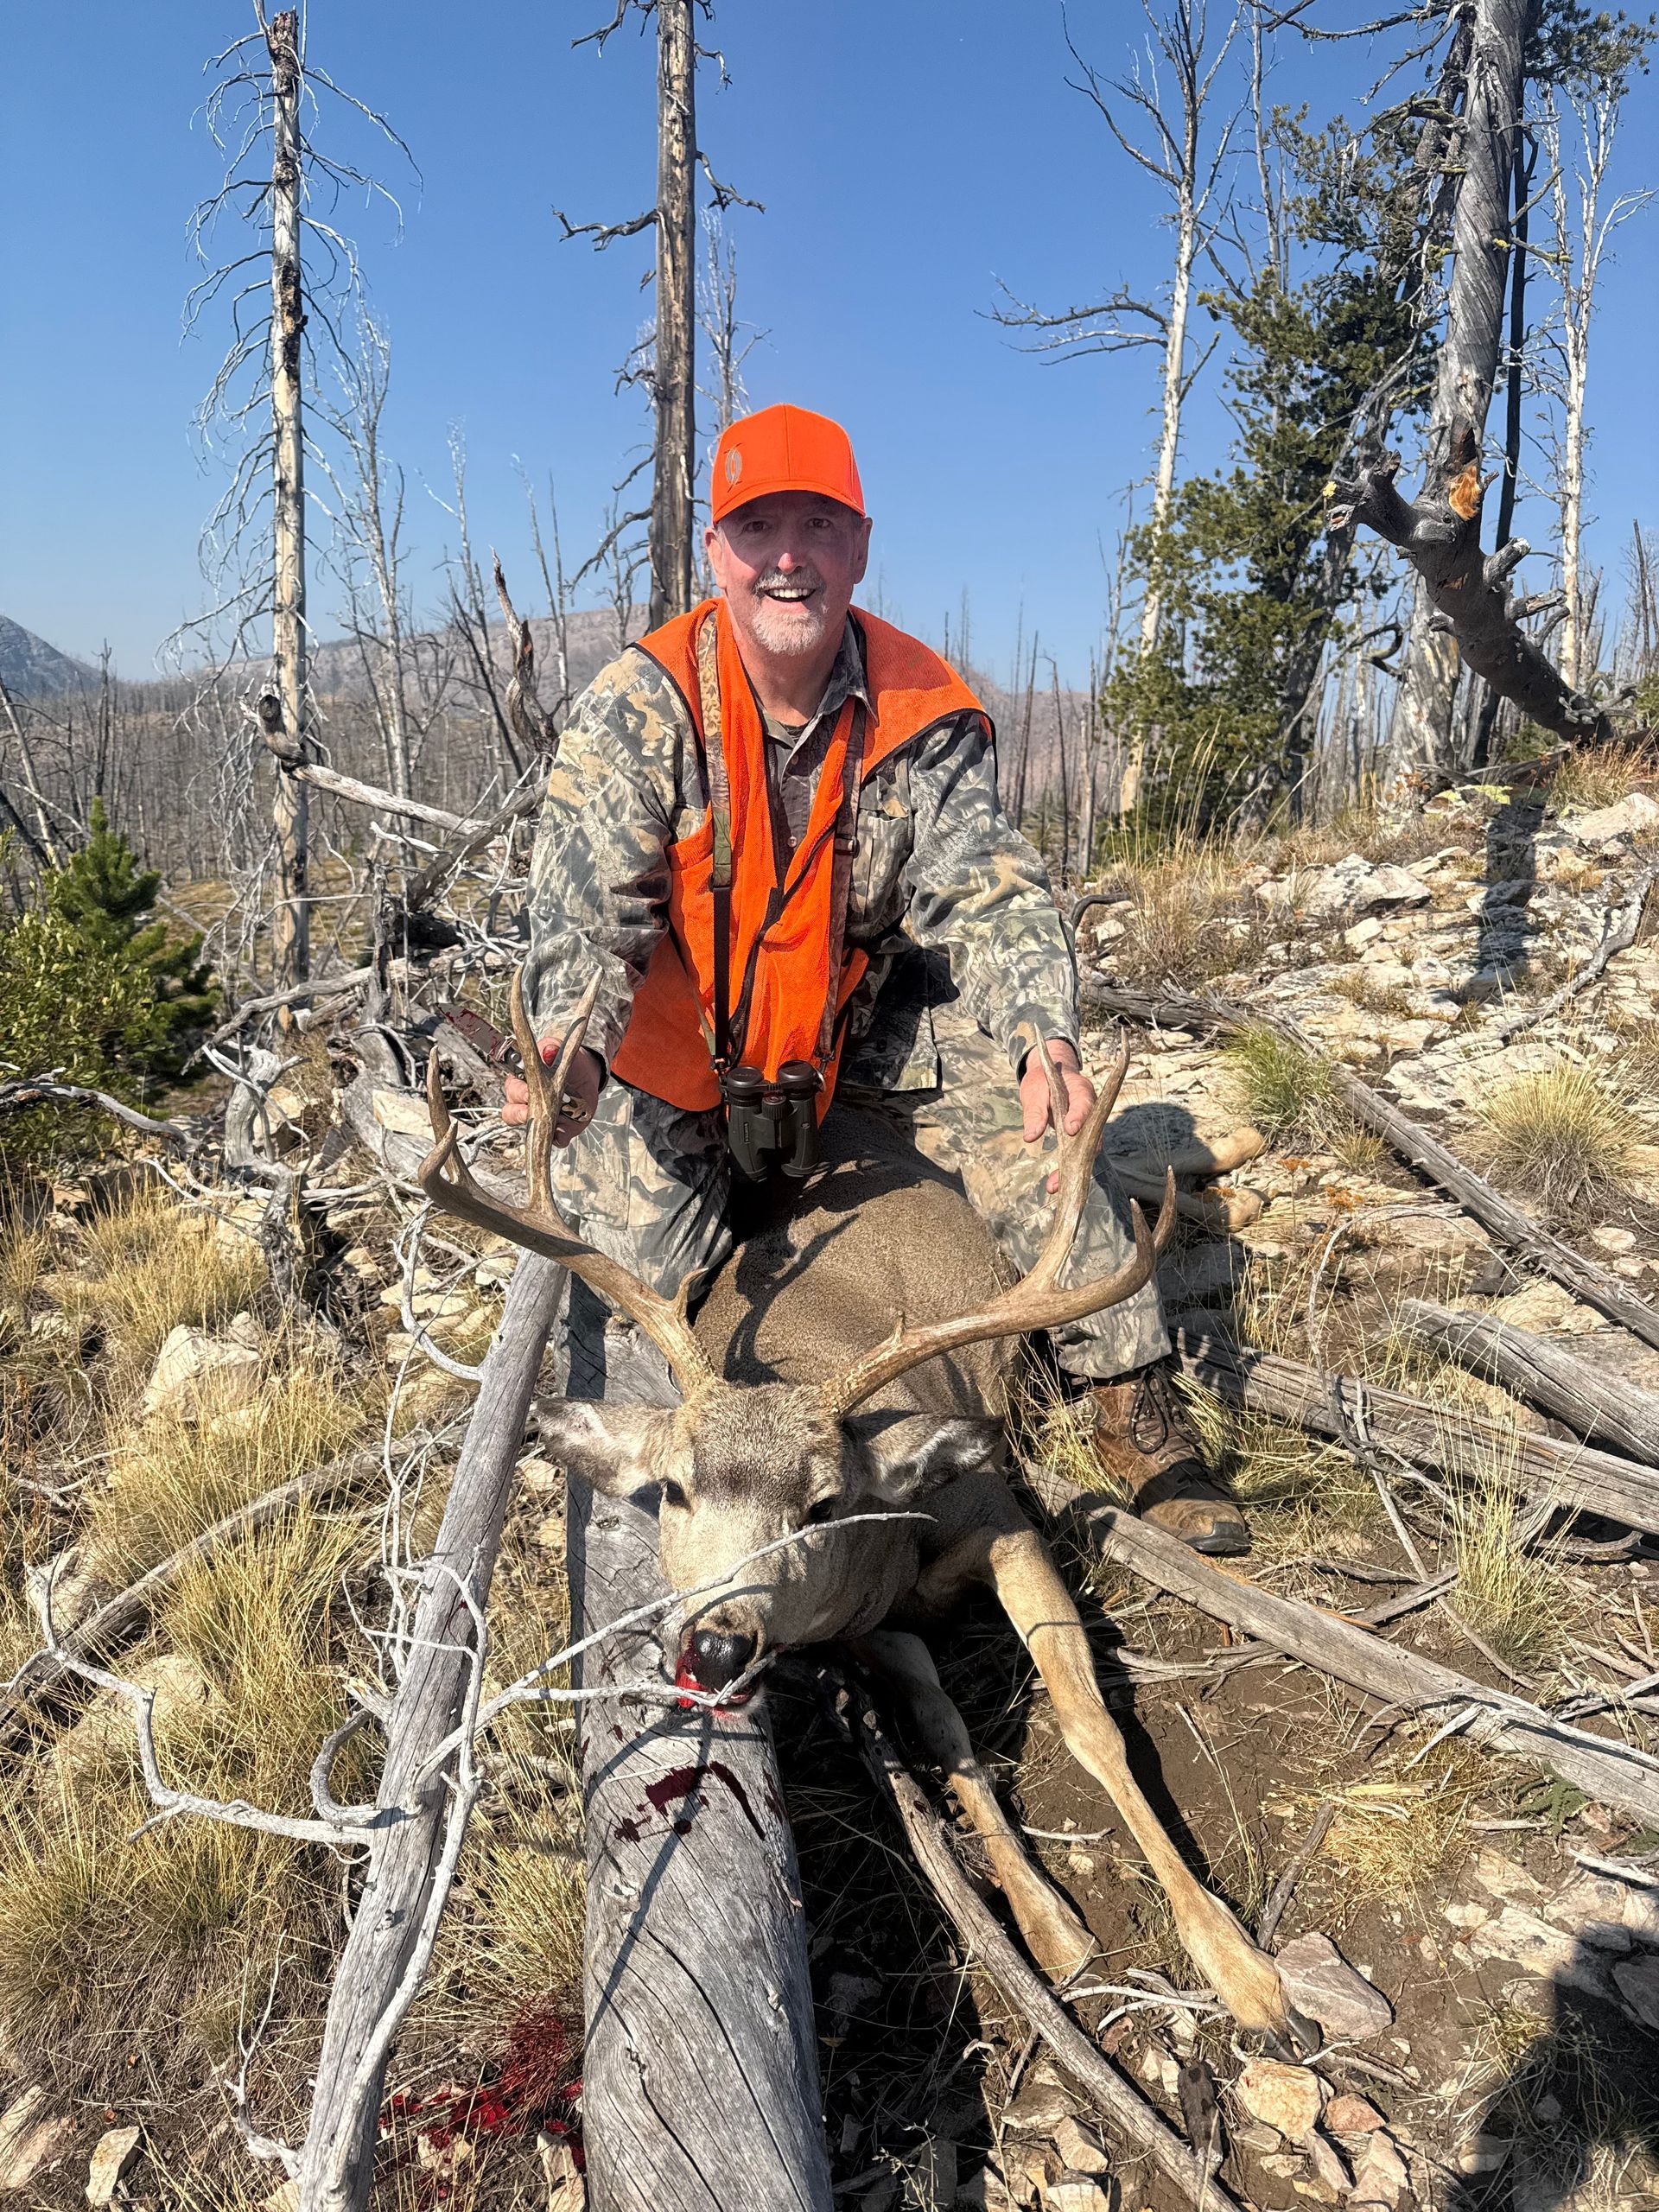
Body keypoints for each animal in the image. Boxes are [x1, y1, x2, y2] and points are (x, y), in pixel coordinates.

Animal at [420, 969, 1308, 2051]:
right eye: (674, 1487)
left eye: (824, 1502)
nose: (716, 1643)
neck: (897, 1542)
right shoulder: (872, 1624)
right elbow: (945, 1731)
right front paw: (1050, 1927)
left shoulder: (997, 1510)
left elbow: (1089, 1718)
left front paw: (1245, 1972)